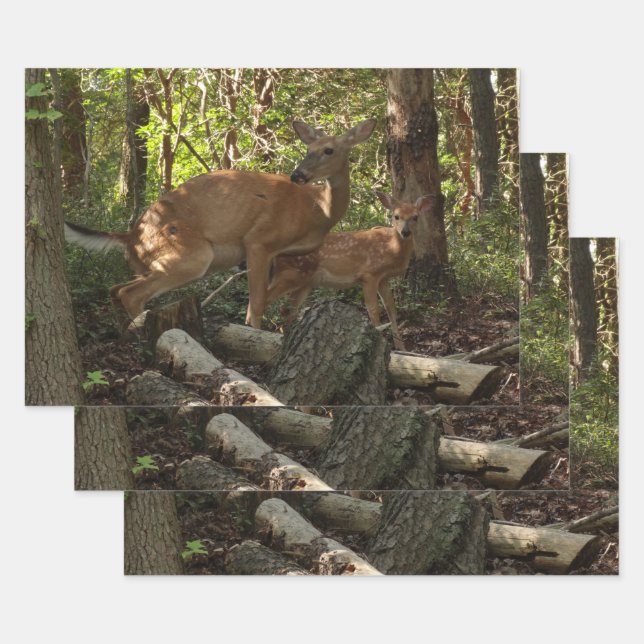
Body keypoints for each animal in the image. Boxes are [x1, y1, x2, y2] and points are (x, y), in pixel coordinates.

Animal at [64, 118, 377, 329]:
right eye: (308, 147)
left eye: (329, 150)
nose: (298, 174)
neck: (317, 209)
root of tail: (130, 236)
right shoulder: (259, 240)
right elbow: (257, 302)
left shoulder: (279, 255)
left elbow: (266, 300)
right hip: (192, 254)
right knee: (130, 293)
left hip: (150, 263)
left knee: (115, 288)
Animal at [264, 191, 435, 350]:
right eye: (396, 216)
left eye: (415, 217)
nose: (405, 232)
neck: (391, 248)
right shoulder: (369, 274)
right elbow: (373, 310)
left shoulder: (383, 278)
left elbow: (391, 309)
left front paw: (401, 348)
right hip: (291, 274)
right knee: (266, 298)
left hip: (304, 282)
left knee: (287, 311)